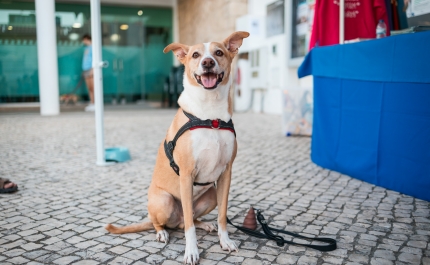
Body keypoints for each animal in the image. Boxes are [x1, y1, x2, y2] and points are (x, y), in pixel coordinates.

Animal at [105, 31, 250, 264]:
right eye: (195, 55)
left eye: (219, 52)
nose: (207, 62)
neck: (211, 116)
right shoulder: (187, 174)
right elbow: (189, 227)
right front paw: (191, 251)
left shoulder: (226, 174)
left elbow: (222, 216)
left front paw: (225, 240)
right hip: (164, 202)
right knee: (170, 222)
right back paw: (162, 233)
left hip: (211, 195)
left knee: (185, 221)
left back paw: (205, 224)